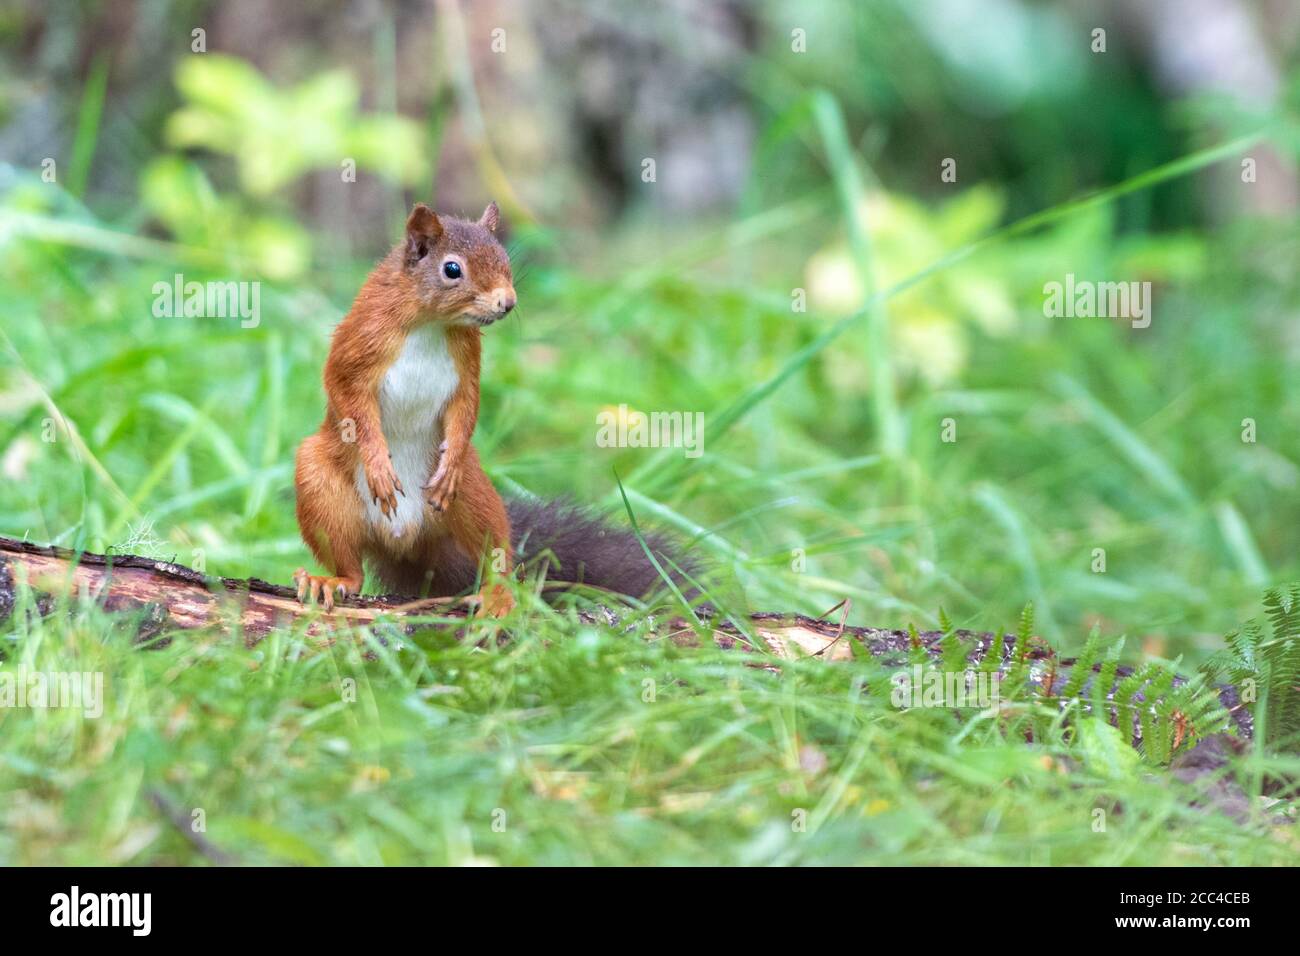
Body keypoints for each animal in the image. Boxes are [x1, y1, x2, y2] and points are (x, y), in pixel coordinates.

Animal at [297, 204, 702, 621]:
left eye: (504, 258)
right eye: (452, 269)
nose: (507, 302)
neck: (431, 322)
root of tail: (405, 541)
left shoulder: (467, 362)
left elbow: (466, 406)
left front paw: (451, 457)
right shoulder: (359, 341)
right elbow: (347, 397)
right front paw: (378, 463)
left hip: (473, 492)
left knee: (493, 550)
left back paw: (498, 593)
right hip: (319, 483)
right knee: (350, 564)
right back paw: (330, 581)